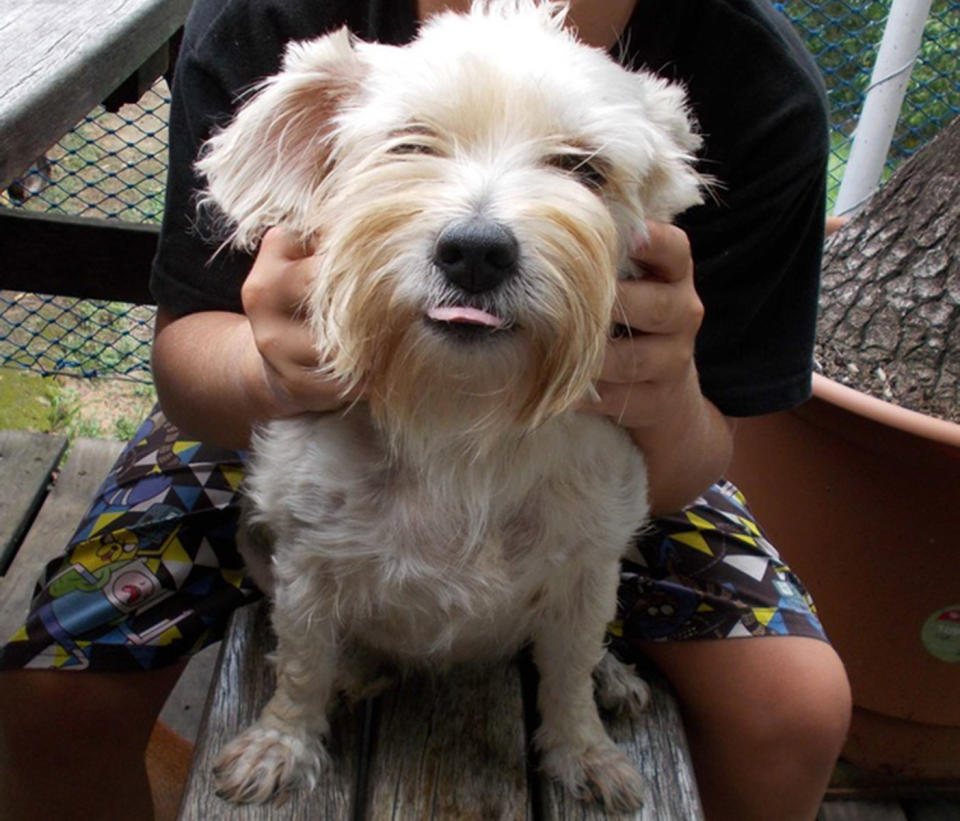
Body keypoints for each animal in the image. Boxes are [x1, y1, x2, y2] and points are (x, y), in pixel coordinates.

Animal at [199, 0, 700, 808]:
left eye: (584, 168)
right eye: (410, 144)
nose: (476, 251)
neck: (461, 413)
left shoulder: (586, 566)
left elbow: (567, 673)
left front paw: (583, 749)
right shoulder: (307, 564)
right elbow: (304, 663)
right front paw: (283, 742)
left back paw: (615, 675)